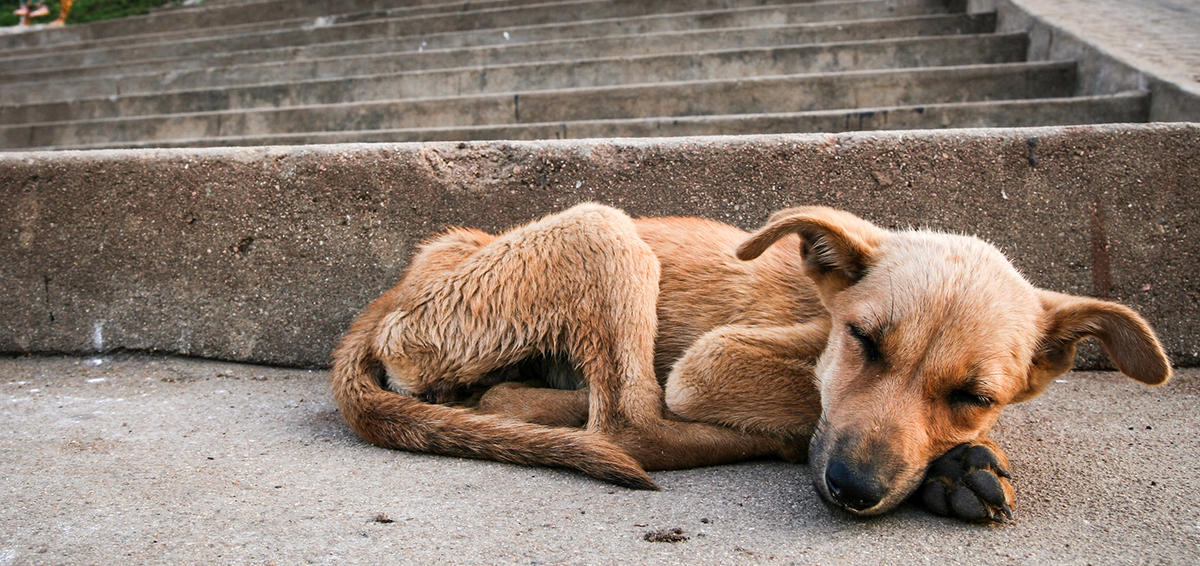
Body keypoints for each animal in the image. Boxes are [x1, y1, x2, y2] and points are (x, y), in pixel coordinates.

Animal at [331, 202, 1171, 522]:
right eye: (865, 342)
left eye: (973, 394)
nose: (854, 489)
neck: (820, 311)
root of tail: (399, 290)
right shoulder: (712, 360)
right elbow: (805, 401)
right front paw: (951, 466)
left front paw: (957, 459)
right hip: (603, 229)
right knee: (632, 424)